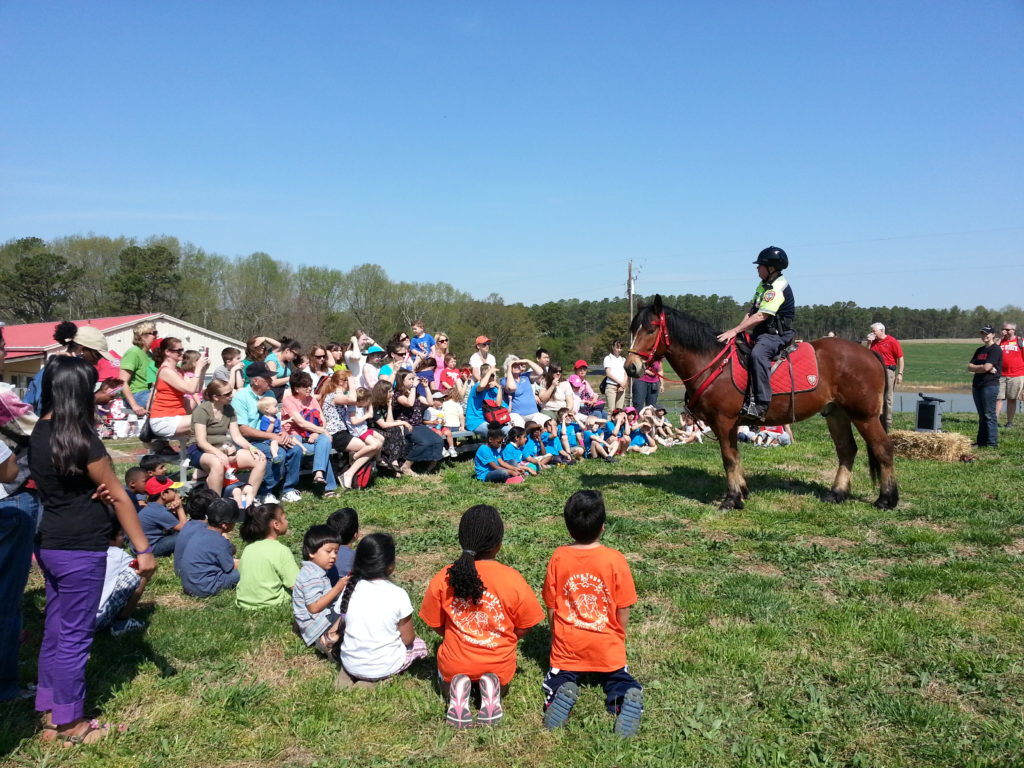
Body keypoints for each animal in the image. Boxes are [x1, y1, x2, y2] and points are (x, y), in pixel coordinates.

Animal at [622, 296, 897, 514]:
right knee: (847, 450)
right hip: (836, 414)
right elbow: (736, 457)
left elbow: (728, 458)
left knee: (883, 449)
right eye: (633, 329)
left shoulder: (724, 422)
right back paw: (837, 493)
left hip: (864, 416)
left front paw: (732, 499)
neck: (713, 363)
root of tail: (869, 353)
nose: (631, 367)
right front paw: (742, 491)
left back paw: (887, 499)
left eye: (650, 329)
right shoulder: (730, 425)